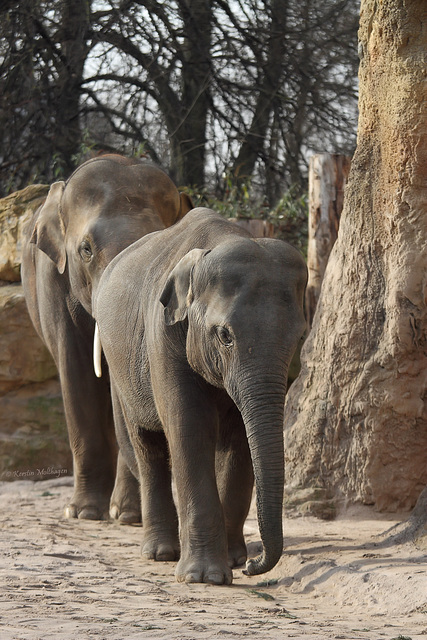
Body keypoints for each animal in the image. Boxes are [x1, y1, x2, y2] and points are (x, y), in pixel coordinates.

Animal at [21, 154, 192, 520]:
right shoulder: (53, 280)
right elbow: (77, 371)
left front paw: (126, 514)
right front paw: (84, 512)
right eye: (85, 250)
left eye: (160, 248)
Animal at [93, 208, 308, 584]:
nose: (254, 565)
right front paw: (204, 577)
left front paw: (234, 560)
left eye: (299, 338)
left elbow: (240, 440)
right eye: (225, 335)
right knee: (147, 446)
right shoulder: (162, 336)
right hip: (120, 370)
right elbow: (189, 429)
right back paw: (160, 553)